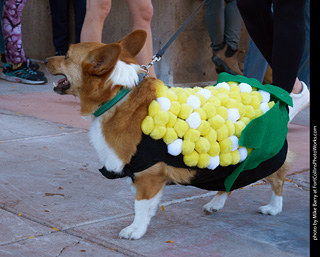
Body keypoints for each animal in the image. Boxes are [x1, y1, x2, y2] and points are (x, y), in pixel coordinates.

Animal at [45, 30, 292, 240]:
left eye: (66, 55)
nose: (44, 60)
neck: (118, 96)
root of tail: (271, 96)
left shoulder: (148, 175)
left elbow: (140, 205)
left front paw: (135, 230)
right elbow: (146, 205)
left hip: (261, 158)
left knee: (278, 179)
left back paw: (274, 207)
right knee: (230, 183)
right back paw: (216, 204)